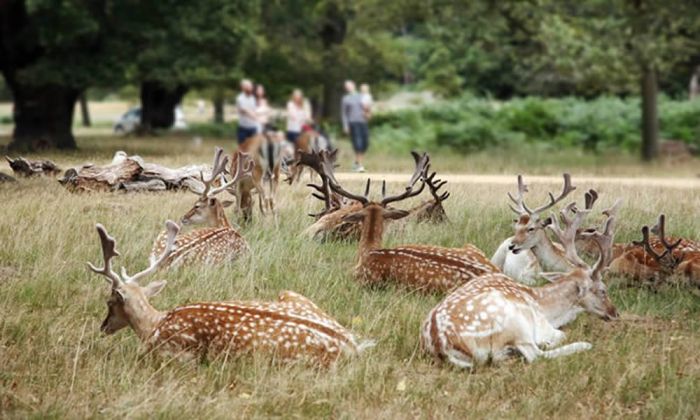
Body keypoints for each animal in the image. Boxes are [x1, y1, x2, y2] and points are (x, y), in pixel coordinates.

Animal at [92, 220, 374, 364]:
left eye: (109, 301)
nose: (103, 327)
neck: (154, 325)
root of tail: (352, 345)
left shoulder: (174, 354)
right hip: (291, 294)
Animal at [422, 197, 616, 368]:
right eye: (602, 290)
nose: (615, 313)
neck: (547, 307)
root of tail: (442, 345)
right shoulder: (542, 325)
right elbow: (560, 335)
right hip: (515, 323)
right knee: (534, 355)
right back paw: (581, 344)